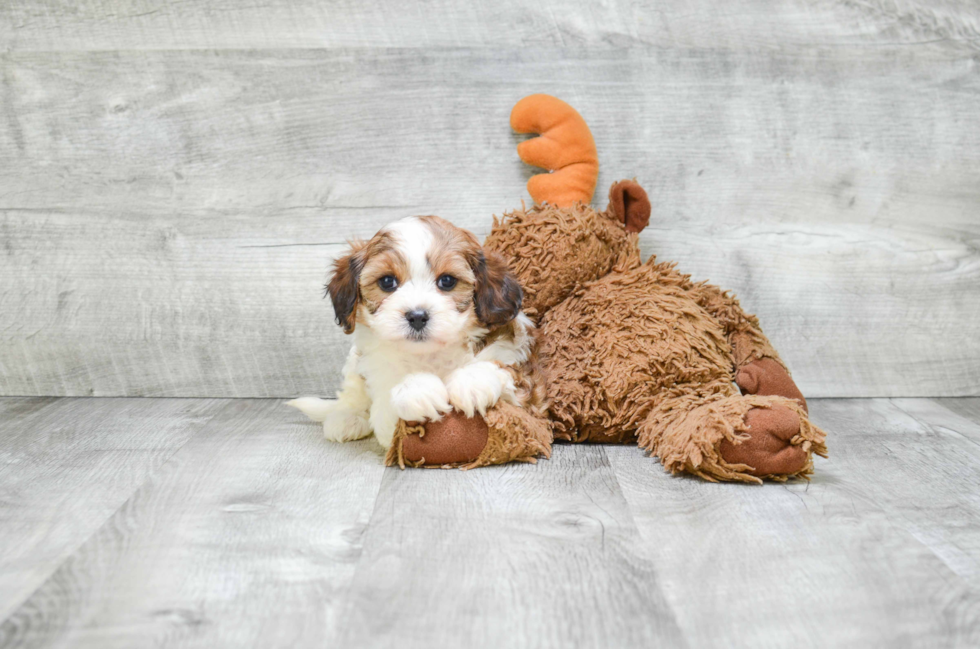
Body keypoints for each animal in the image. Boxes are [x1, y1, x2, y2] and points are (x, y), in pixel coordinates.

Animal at [288, 215, 544, 448]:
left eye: (447, 281)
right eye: (387, 282)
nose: (417, 316)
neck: (428, 355)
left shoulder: (525, 392)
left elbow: (503, 373)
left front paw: (472, 381)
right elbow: (388, 416)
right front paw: (417, 391)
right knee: (352, 394)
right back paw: (346, 418)